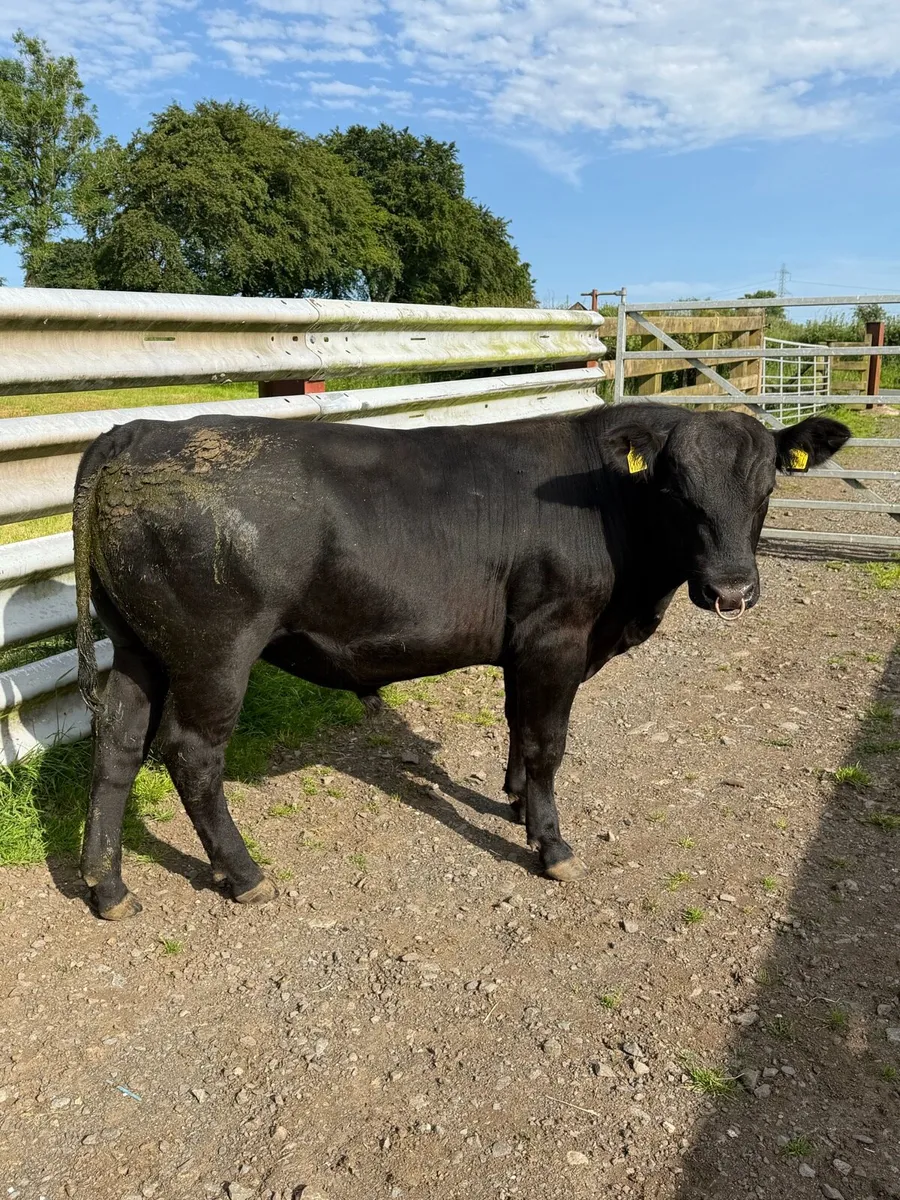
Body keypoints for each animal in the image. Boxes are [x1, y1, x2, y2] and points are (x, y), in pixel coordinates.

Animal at [72, 403, 850, 919]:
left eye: (768, 489)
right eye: (674, 490)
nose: (731, 590)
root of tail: (140, 430)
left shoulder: (524, 645)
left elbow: (517, 722)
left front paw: (514, 800)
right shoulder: (556, 634)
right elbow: (546, 740)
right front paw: (551, 846)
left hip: (138, 645)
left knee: (116, 745)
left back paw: (107, 887)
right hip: (215, 649)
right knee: (190, 752)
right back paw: (244, 873)